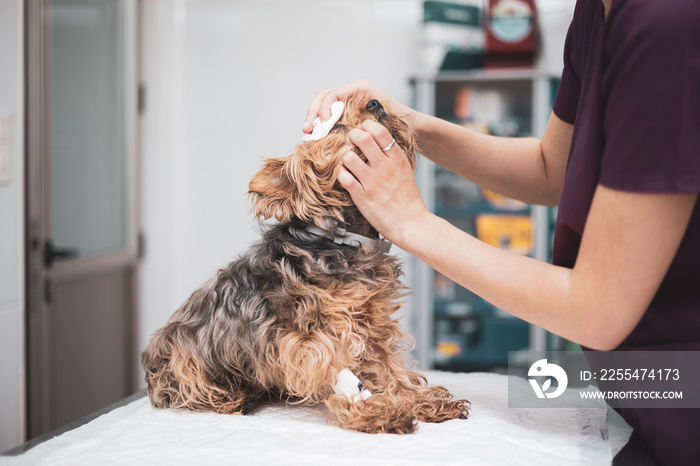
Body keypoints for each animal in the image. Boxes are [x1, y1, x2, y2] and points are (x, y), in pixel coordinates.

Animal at [142, 96, 470, 436]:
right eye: (337, 127)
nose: (375, 100)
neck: (343, 241)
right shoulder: (313, 337)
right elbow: (341, 376)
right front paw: (376, 414)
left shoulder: (373, 322)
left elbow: (389, 366)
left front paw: (420, 401)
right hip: (185, 362)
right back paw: (232, 399)